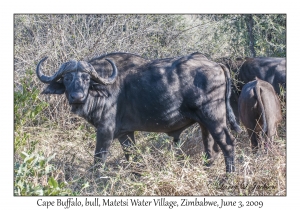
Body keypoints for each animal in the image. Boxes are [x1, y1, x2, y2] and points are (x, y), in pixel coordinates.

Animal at [35, 52, 241, 172]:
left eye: (86, 78)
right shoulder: (125, 134)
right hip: (204, 123)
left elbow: (99, 160)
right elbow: (132, 156)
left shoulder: (105, 131)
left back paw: (228, 177)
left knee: (228, 144)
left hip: (215, 119)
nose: (77, 96)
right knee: (210, 148)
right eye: (67, 78)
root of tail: (215, 64)